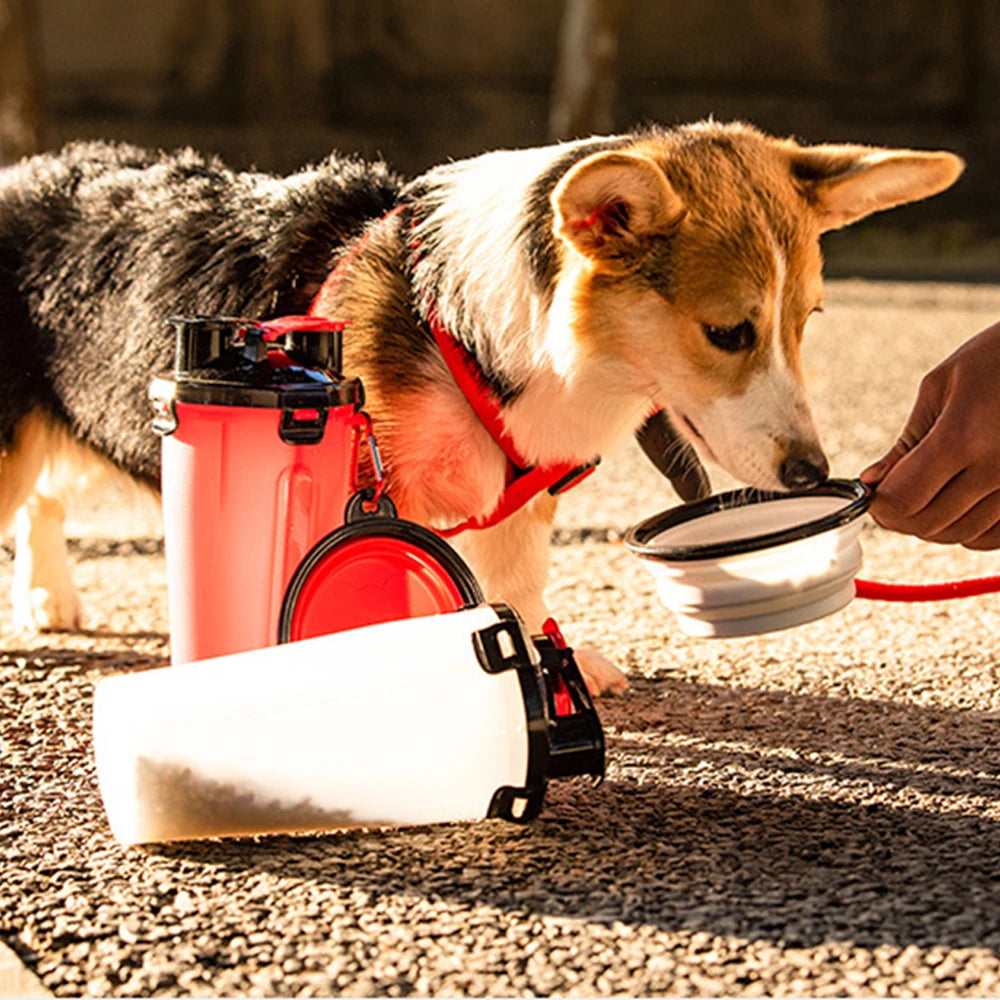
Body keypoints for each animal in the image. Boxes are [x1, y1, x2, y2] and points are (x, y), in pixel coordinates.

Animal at [0, 123, 964, 688]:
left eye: (808, 322)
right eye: (727, 332)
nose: (812, 472)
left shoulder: (519, 500)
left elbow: (517, 586)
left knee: (44, 498)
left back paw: (51, 596)